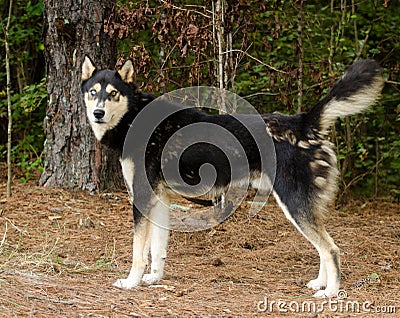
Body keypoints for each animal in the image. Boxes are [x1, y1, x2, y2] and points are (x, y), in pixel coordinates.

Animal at [81, 57, 384, 298]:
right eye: (93, 92)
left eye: (113, 94)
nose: (98, 113)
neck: (133, 117)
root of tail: (302, 123)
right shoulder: (160, 200)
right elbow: (157, 250)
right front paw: (154, 279)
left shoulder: (142, 198)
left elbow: (138, 252)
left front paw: (131, 282)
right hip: (304, 206)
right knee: (323, 247)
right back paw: (321, 283)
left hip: (294, 204)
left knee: (331, 249)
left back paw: (331, 292)